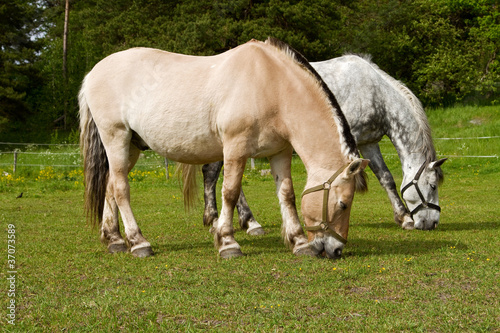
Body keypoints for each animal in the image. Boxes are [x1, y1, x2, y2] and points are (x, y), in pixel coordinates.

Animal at [78, 37, 368, 260]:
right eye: (343, 204)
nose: (336, 249)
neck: (269, 83)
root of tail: (93, 72)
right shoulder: (235, 147)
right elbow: (230, 191)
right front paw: (228, 242)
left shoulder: (280, 153)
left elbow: (287, 194)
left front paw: (298, 242)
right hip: (116, 137)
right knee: (121, 189)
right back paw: (138, 242)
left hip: (131, 147)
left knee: (110, 186)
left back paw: (114, 239)